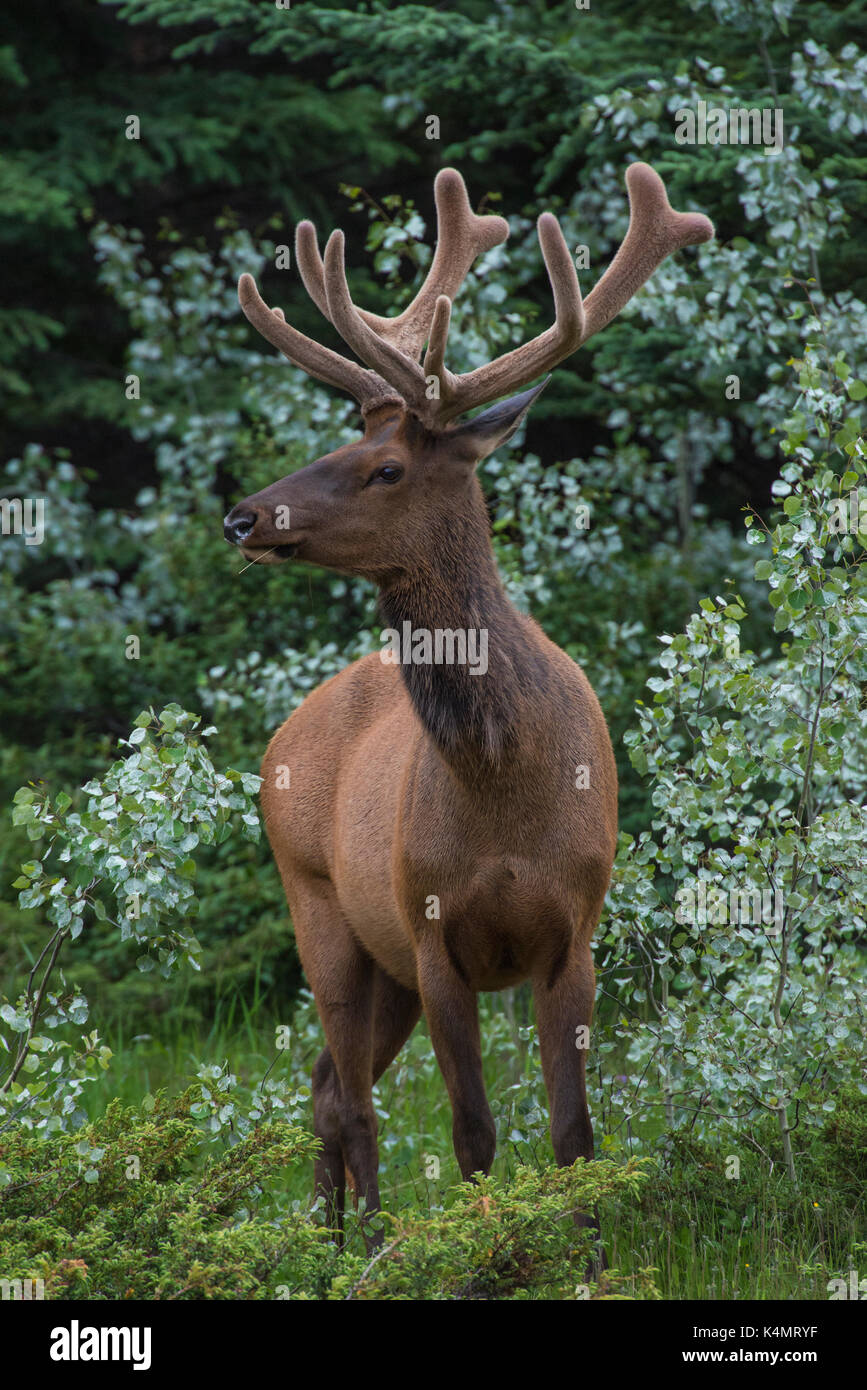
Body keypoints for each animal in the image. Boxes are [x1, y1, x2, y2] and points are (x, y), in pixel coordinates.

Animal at [226, 159, 716, 1251]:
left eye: (385, 467)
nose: (243, 514)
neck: (501, 774)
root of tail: (286, 730)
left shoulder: (574, 926)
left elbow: (574, 1131)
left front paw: (585, 1255)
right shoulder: (430, 928)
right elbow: (473, 1133)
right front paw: (485, 1247)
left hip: (380, 965)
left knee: (328, 1085)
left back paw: (329, 1239)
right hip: (323, 908)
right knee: (351, 1099)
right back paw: (357, 1245)